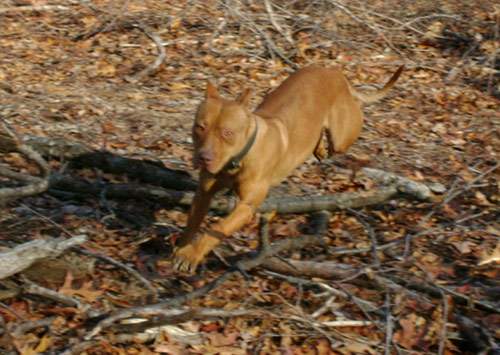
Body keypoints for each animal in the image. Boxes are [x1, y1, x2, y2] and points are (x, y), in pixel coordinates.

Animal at [174, 65, 404, 274]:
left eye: (227, 133)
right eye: (199, 127)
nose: (203, 157)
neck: (236, 160)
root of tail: (337, 73)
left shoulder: (246, 206)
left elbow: (217, 227)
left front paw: (192, 254)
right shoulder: (203, 193)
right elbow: (192, 221)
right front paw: (182, 247)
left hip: (343, 136)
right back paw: (318, 148)